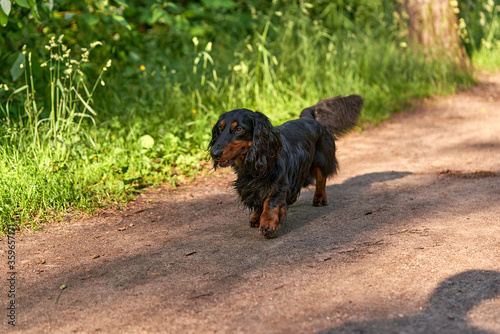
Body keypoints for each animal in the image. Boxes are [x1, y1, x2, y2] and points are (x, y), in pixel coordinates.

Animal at [208, 95, 364, 239]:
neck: (256, 160)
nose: (214, 153)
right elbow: (259, 200)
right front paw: (257, 217)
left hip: (321, 160)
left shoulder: (278, 183)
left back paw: (319, 198)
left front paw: (268, 224)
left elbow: (270, 203)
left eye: (239, 129)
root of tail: (309, 118)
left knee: (321, 179)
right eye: (220, 128)